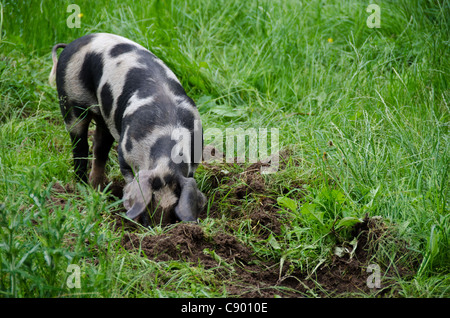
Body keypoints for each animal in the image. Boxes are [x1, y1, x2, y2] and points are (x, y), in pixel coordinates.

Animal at [48, 33, 206, 226]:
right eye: (149, 201)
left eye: (174, 203)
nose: (157, 227)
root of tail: (72, 43)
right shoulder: (124, 154)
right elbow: (130, 180)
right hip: (70, 99)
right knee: (80, 146)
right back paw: (82, 187)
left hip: (104, 117)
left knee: (99, 148)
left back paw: (97, 189)